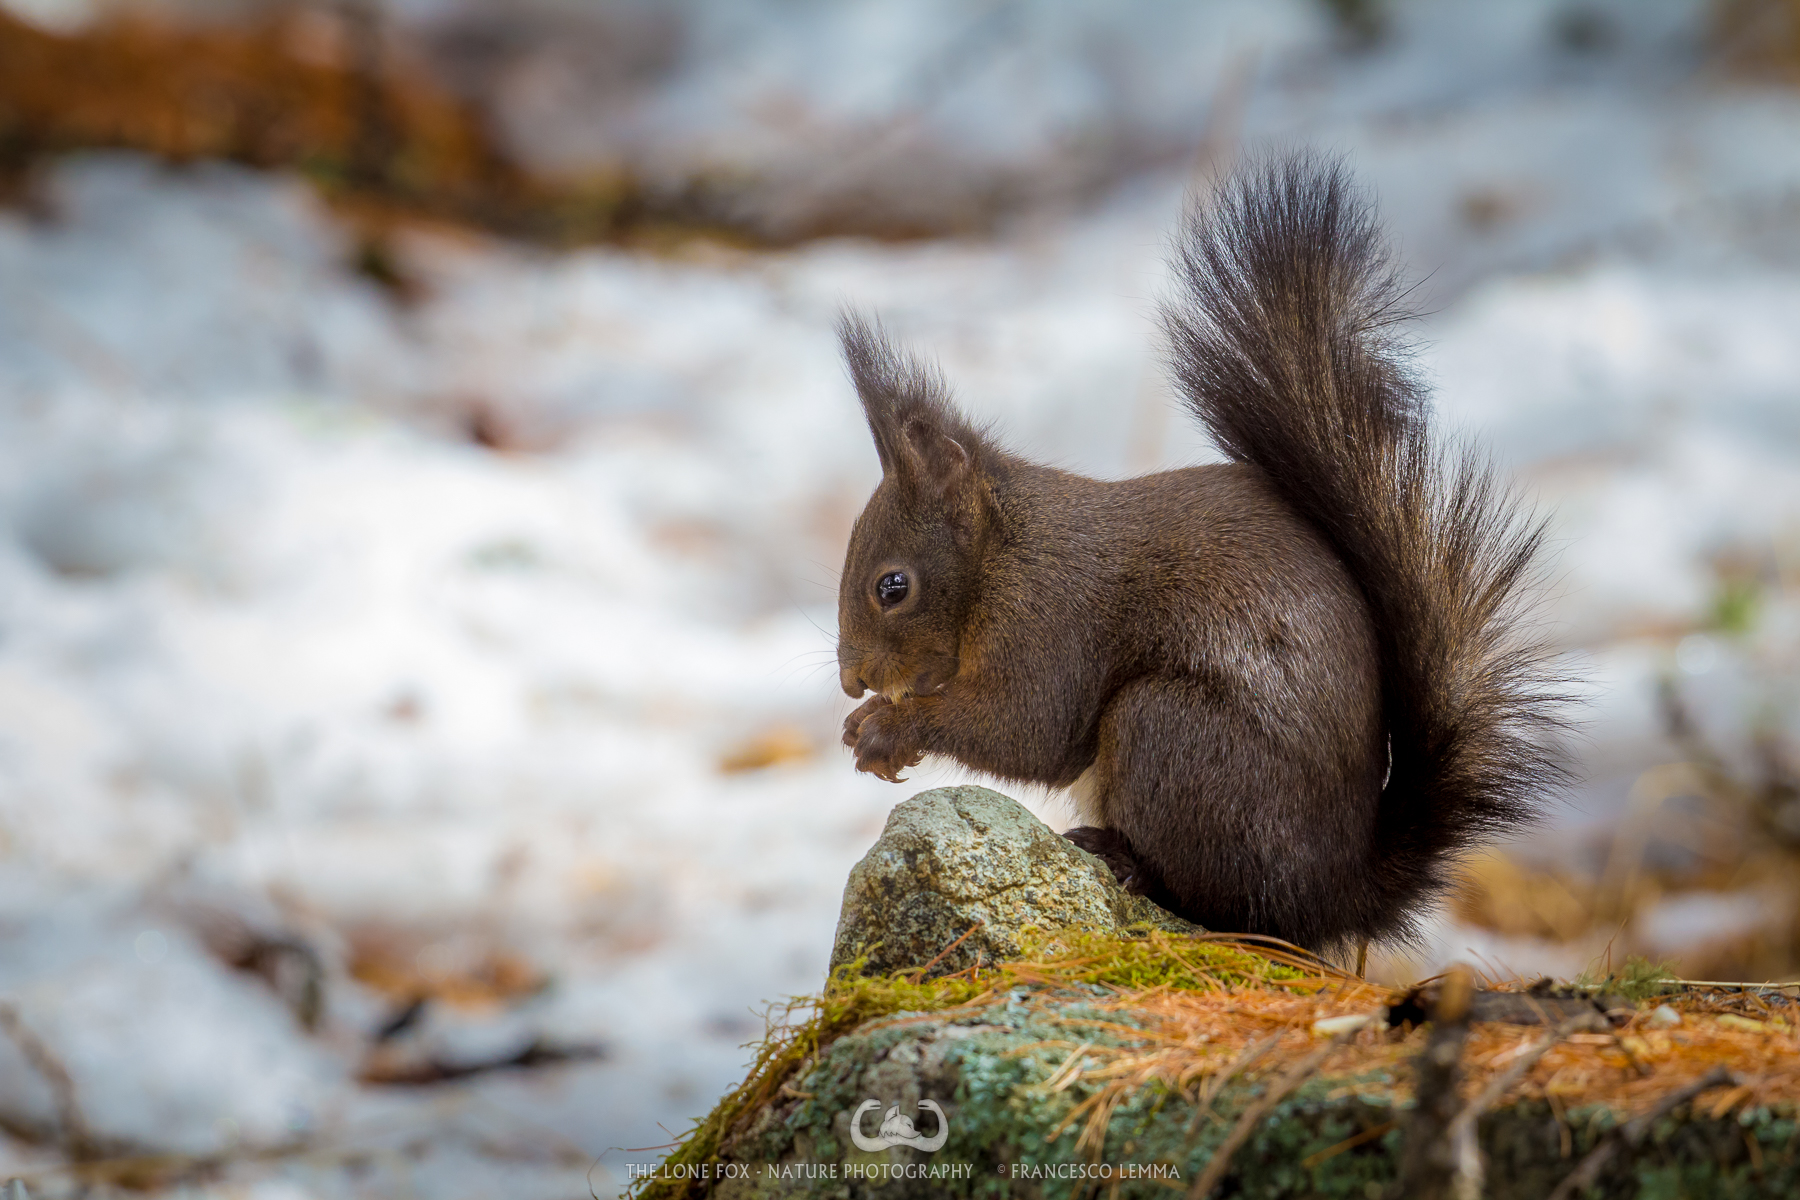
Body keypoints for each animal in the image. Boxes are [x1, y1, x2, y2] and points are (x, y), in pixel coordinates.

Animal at [834, 153, 1567, 952]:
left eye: (893, 586)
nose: (849, 679)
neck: (1003, 551)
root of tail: (1336, 894)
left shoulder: (1049, 620)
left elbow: (1025, 729)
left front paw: (887, 728)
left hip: (1170, 733)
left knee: (1225, 906)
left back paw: (1129, 863)